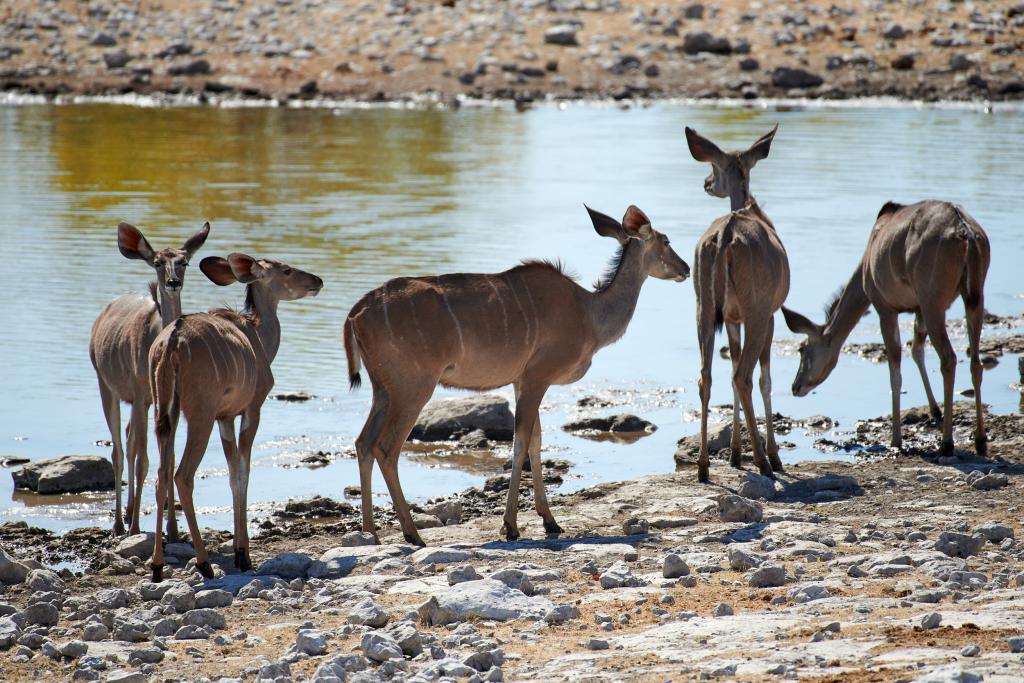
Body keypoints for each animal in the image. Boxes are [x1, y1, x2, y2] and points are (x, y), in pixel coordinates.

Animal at [89, 222, 208, 536]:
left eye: (184, 261)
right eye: (157, 262)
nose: (173, 283)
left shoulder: (165, 401)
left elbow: (169, 457)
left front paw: (173, 529)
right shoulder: (142, 395)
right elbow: (143, 458)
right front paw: (135, 529)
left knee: (129, 439)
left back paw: (131, 512)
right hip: (106, 385)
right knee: (120, 450)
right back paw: (121, 523)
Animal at [148, 253, 321, 581]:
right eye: (286, 269)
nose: (317, 281)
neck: (256, 335)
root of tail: (172, 341)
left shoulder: (224, 418)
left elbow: (231, 471)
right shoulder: (250, 409)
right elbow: (243, 469)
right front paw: (243, 555)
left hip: (165, 412)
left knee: (162, 473)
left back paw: (157, 567)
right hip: (199, 416)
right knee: (182, 475)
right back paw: (204, 564)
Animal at [348, 202, 692, 544]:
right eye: (665, 241)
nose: (686, 269)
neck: (588, 313)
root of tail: (357, 312)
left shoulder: (521, 381)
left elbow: (536, 441)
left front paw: (549, 521)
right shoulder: (538, 378)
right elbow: (522, 441)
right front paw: (511, 525)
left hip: (383, 389)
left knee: (364, 442)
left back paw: (370, 534)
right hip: (414, 387)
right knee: (386, 447)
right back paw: (412, 534)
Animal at [688, 125, 790, 483]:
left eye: (715, 166)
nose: (706, 182)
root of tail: (724, 238)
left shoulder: (731, 318)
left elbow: (729, 365)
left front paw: (733, 455)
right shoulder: (771, 311)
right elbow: (765, 378)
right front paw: (771, 455)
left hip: (703, 307)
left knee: (707, 376)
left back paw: (704, 466)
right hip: (757, 309)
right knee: (745, 376)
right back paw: (765, 461)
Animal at [778, 201, 987, 458]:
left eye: (802, 348)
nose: (795, 386)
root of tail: (965, 232)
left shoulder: (885, 309)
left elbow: (895, 369)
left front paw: (896, 440)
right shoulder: (917, 309)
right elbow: (916, 350)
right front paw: (935, 413)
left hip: (934, 303)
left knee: (949, 358)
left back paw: (947, 444)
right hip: (973, 299)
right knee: (976, 362)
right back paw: (980, 441)